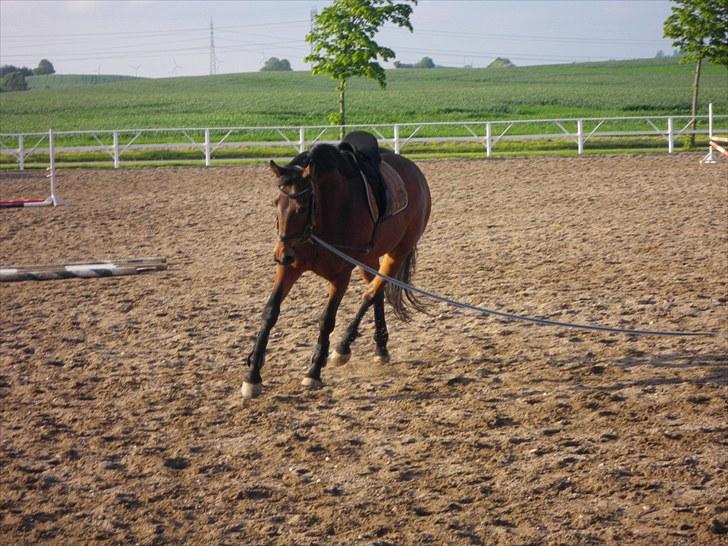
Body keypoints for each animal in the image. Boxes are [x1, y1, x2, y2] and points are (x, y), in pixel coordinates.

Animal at [242, 132, 430, 396]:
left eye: (302, 206)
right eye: (275, 203)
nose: (281, 254)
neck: (321, 219)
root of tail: (415, 172)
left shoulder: (340, 276)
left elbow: (326, 320)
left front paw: (313, 372)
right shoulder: (290, 268)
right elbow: (270, 312)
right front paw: (253, 376)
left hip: (397, 253)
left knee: (371, 293)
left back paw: (343, 348)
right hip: (368, 259)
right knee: (376, 293)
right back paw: (380, 348)